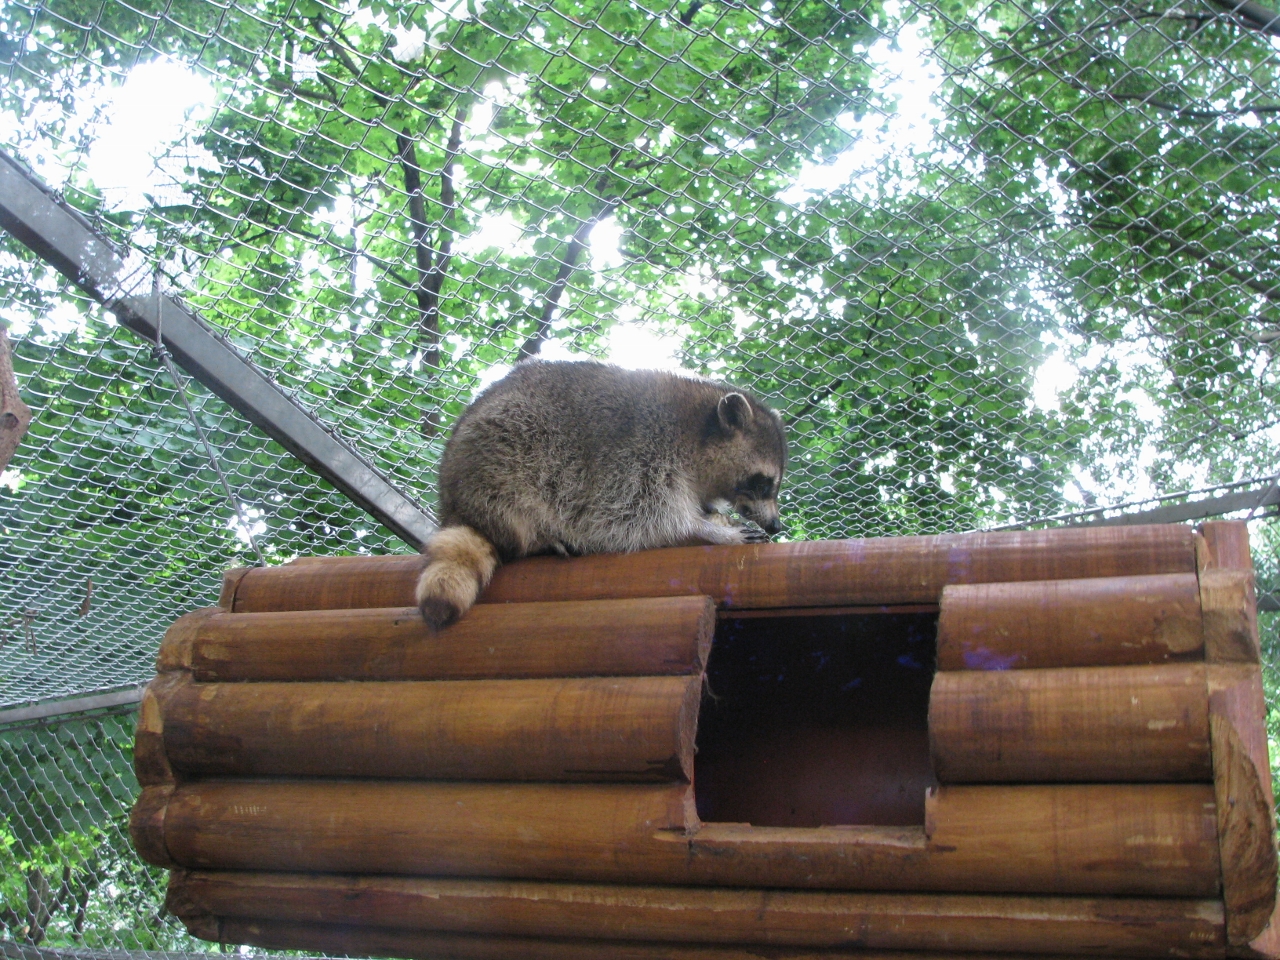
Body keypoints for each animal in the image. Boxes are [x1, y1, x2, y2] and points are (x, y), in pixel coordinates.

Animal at [415, 359, 787, 629]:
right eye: (763, 483)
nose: (776, 525)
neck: (696, 429)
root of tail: (451, 501)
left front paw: (714, 516)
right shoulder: (639, 458)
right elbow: (638, 520)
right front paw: (706, 531)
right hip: (502, 457)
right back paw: (534, 538)